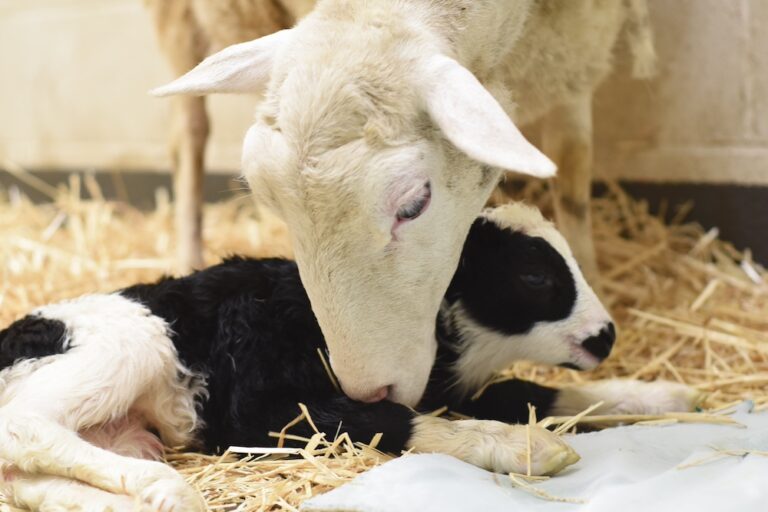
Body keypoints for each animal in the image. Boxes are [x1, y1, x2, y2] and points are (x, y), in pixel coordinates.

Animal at [0, 204, 697, 511]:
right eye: (534, 276)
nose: (606, 335)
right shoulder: (254, 409)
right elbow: (382, 420)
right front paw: (523, 447)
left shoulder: (458, 386)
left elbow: (533, 392)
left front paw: (666, 395)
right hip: (130, 345)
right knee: (24, 429)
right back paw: (164, 487)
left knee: (27, 476)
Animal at [152, 0, 656, 407]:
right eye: (272, 201)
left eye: (413, 205)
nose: (369, 393)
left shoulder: (579, 41)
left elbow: (573, 168)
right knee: (187, 133)